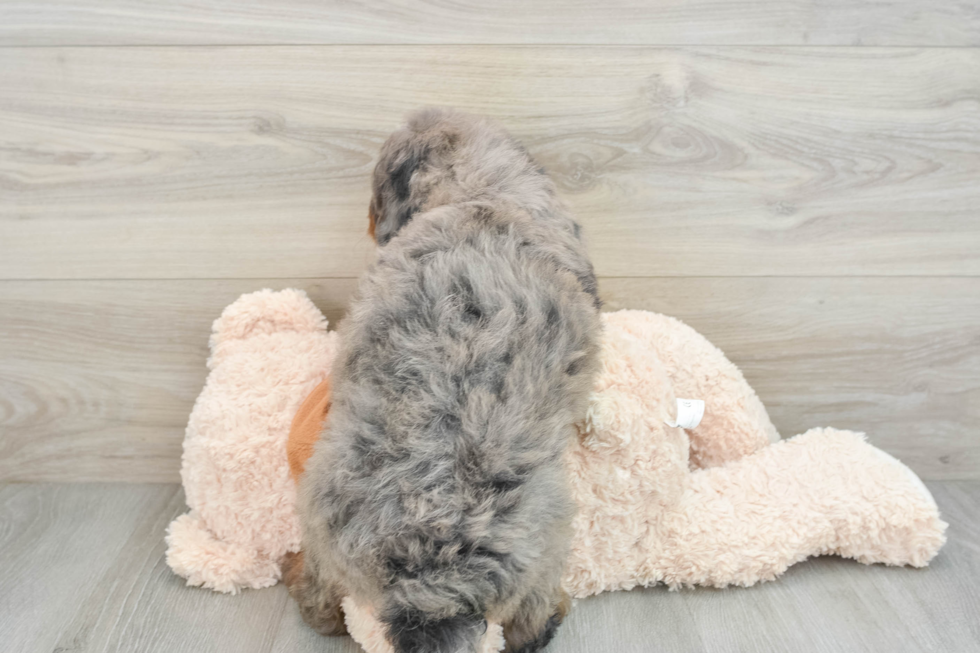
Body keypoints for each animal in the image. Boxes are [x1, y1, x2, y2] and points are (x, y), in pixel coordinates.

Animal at [288, 108, 600, 652]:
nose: (367, 220)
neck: (485, 195)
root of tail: (431, 585)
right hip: (551, 532)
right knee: (531, 616)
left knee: (321, 599)